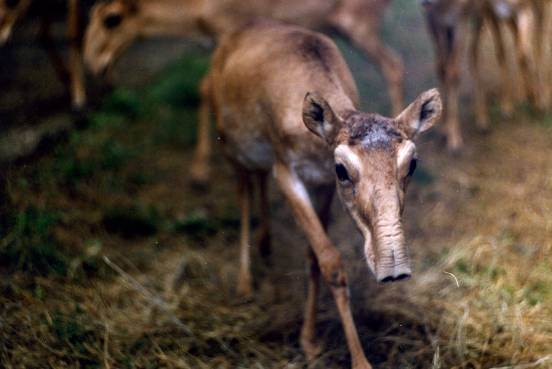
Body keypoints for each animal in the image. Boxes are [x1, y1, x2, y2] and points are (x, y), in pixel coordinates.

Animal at [83, 0, 406, 183]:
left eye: (112, 19)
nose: (92, 64)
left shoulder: (232, 31)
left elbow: (206, 88)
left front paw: (200, 171)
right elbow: (205, 88)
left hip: (358, 26)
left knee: (393, 65)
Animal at [205, 19, 442, 366]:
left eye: (412, 163)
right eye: (342, 169)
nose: (394, 270)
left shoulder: (322, 184)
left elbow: (314, 257)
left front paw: (309, 340)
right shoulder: (287, 173)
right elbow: (331, 260)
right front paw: (358, 360)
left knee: (258, 183)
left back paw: (265, 243)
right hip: (233, 149)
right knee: (244, 194)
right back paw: (245, 282)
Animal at [422, 0, 548, 150]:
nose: (426, 2)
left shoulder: (461, 18)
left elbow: (453, 73)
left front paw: (454, 139)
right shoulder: (434, 19)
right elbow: (443, 68)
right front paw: (444, 128)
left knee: (535, 45)